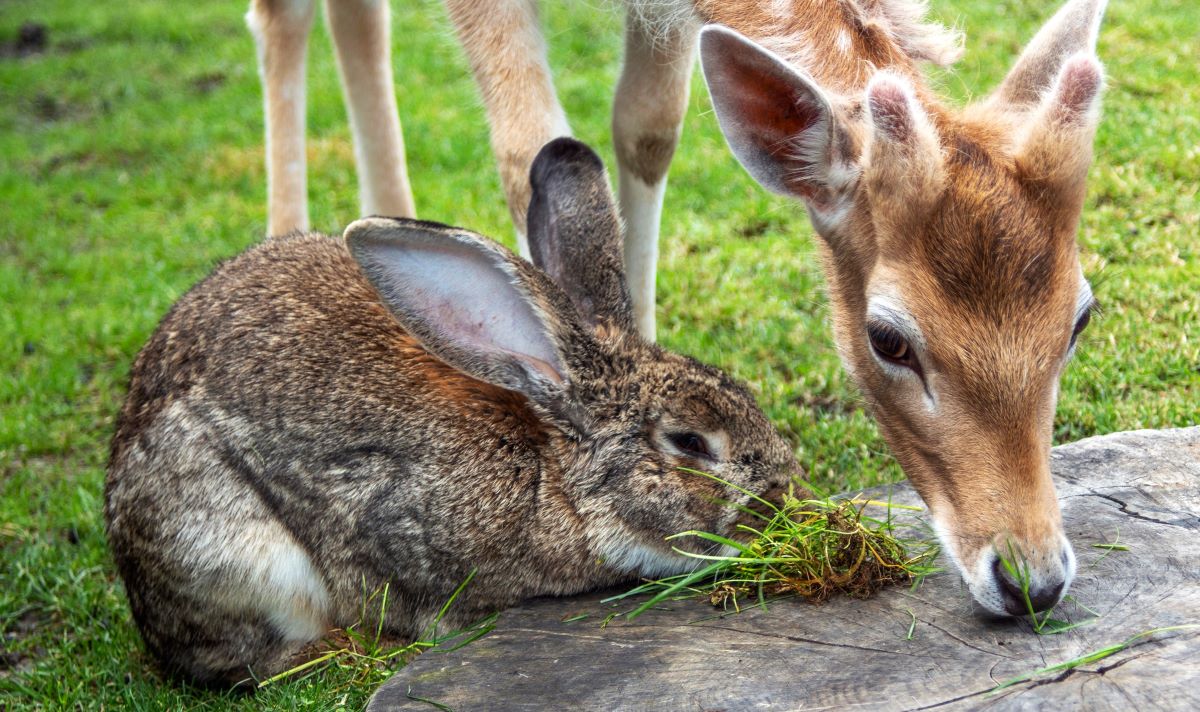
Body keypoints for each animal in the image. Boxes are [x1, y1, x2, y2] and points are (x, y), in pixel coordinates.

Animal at [243, 0, 1104, 614]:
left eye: (1079, 319)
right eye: (888, 340)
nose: (1032, 579)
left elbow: (649, 129)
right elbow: (530, 147)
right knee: (285, 14)